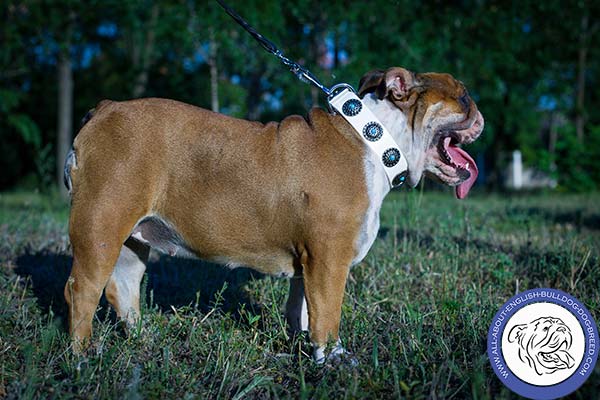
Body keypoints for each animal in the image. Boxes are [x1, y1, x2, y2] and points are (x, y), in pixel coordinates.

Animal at [62, 66, 482, 362]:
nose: (480, 114)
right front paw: (334, 360)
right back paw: (82, 357)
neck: (376, 140)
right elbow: (328, 315)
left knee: (123, 287)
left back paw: (143, 339)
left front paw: (305, 349)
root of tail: (105, 109)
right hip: (101, 224)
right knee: (82, 290)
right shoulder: (330, 261)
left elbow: (304, 310)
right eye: (463, 97)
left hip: (131, 239)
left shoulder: (310, 263)